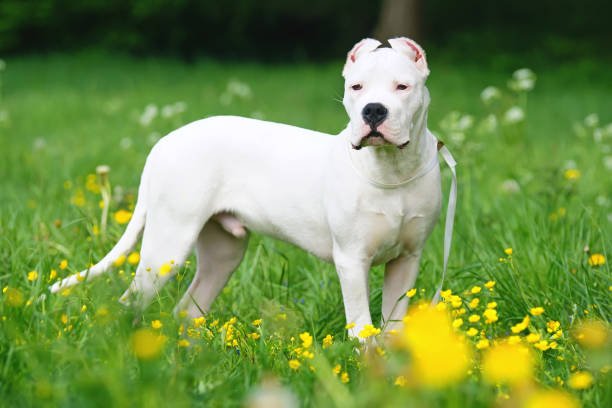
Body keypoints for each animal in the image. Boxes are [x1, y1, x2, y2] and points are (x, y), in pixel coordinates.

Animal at [51, 38, 444, 338]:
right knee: (130, 302)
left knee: (187, 309)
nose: (373, 111)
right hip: (167, 247)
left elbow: (392, 326)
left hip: (222, 253)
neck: (391, 171)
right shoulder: (351, 260)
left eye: (402, 87)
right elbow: (362, 327)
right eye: (356, 88)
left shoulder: (406, 262)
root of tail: (164, 142)